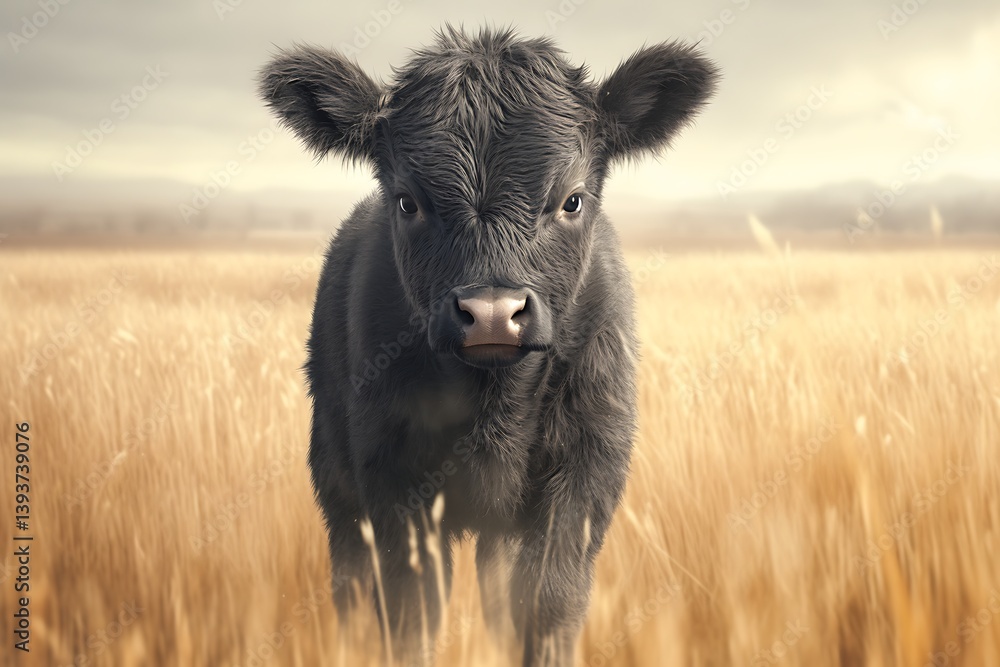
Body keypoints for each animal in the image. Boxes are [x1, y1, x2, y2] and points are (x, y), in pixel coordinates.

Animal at [258, 25, 718, 666]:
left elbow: (548, 603)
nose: (493, 314)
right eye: (408, 201)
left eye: (571, 199)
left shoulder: (585, 475)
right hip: (335, 478)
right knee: (351, 584)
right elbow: (412, 610)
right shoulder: (392, 482)